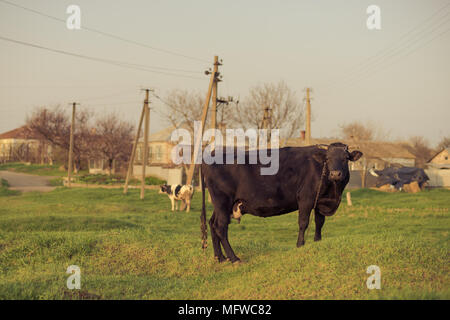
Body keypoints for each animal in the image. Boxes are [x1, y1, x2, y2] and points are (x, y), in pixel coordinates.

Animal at [200, 142, 362, 262]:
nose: (335, 174)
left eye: (345, 158)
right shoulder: (306, 199)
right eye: (327, 159)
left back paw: (220, 257)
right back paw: (234, 258)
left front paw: (318, 242)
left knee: (212, 224)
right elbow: (303, 223)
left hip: (221, 205)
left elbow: (319, 222)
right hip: (223, 201)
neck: (333, 193)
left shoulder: (320, 201)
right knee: (221, 226)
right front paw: (300, 245)